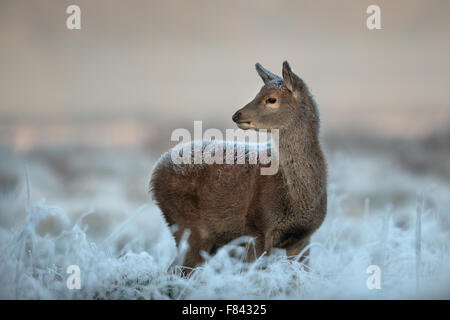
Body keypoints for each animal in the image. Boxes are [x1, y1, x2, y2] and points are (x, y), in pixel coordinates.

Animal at [151, 60, 326, 270]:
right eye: (258, 93)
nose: (236, 115)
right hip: (186, 224)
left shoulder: (303, 237)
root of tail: (155, 170)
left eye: (271, 99)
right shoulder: (257, 227)